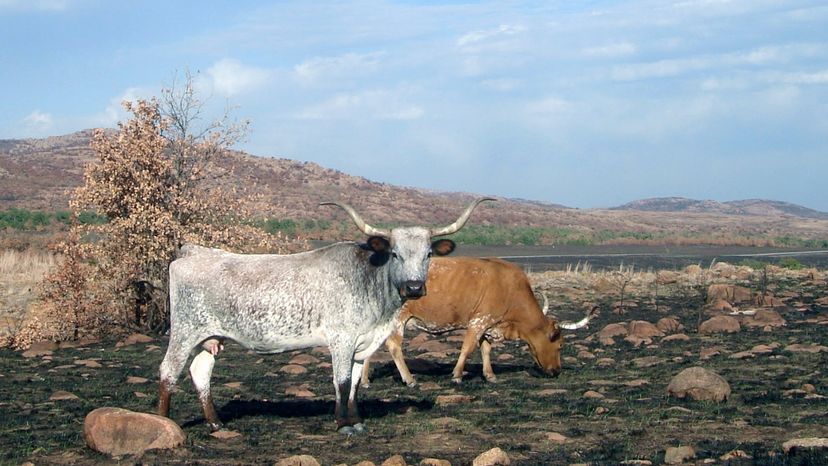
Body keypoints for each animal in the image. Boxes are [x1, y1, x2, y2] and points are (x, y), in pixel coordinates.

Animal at [362, 255, 596, 386]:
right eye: (560, 344)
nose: (556, 371)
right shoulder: (478, 321)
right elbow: (468, 348)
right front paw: (457, 375)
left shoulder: (488, 325)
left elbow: (485, 349)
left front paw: (490, 375)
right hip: (398, 319)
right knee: (394, 346)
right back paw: (409, 379)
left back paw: (364, 380)